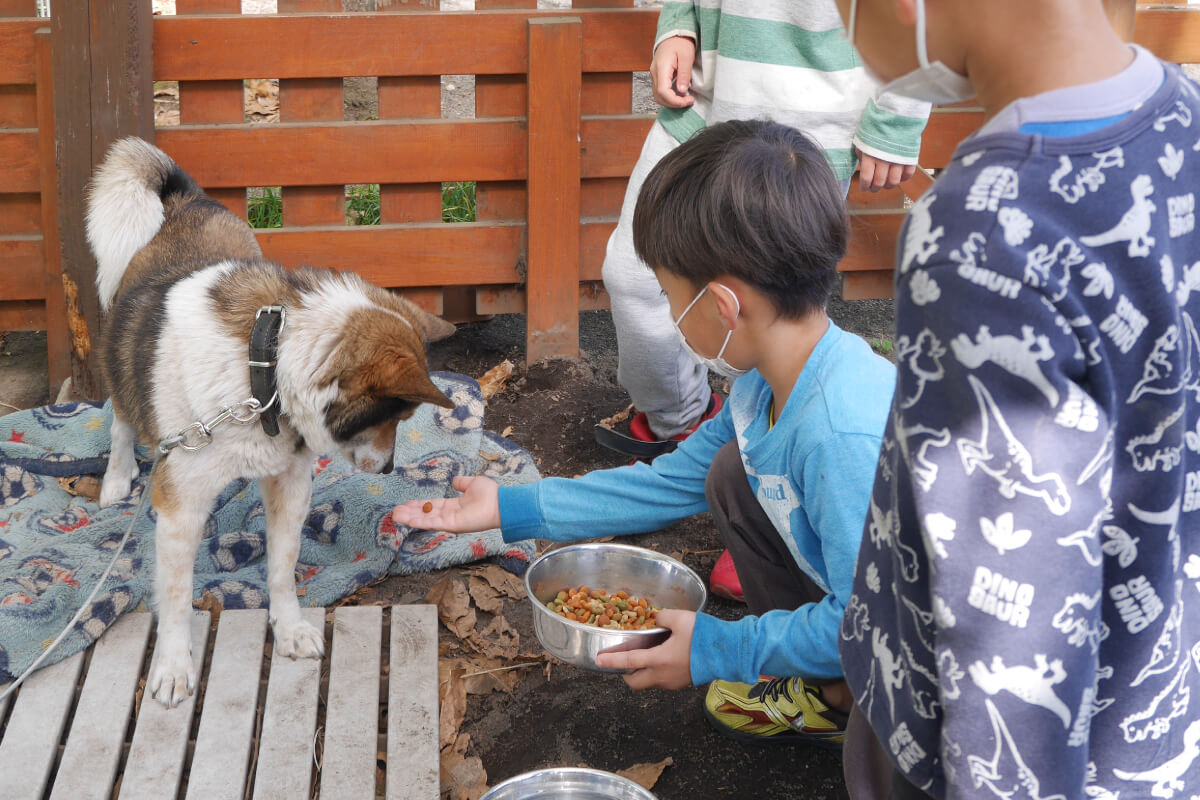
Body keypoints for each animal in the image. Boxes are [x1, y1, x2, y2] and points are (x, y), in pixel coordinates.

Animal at [85, 137, 453, 705]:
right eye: (401, 415)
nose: (391, 469)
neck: (264, 369)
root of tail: (187, 202)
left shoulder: (290, 485)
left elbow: (282, 566)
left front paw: (290, 628)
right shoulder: (180, 507)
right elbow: (177, 596)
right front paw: (173, 665)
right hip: (121, 366)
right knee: (122, 422)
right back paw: (117, 478)